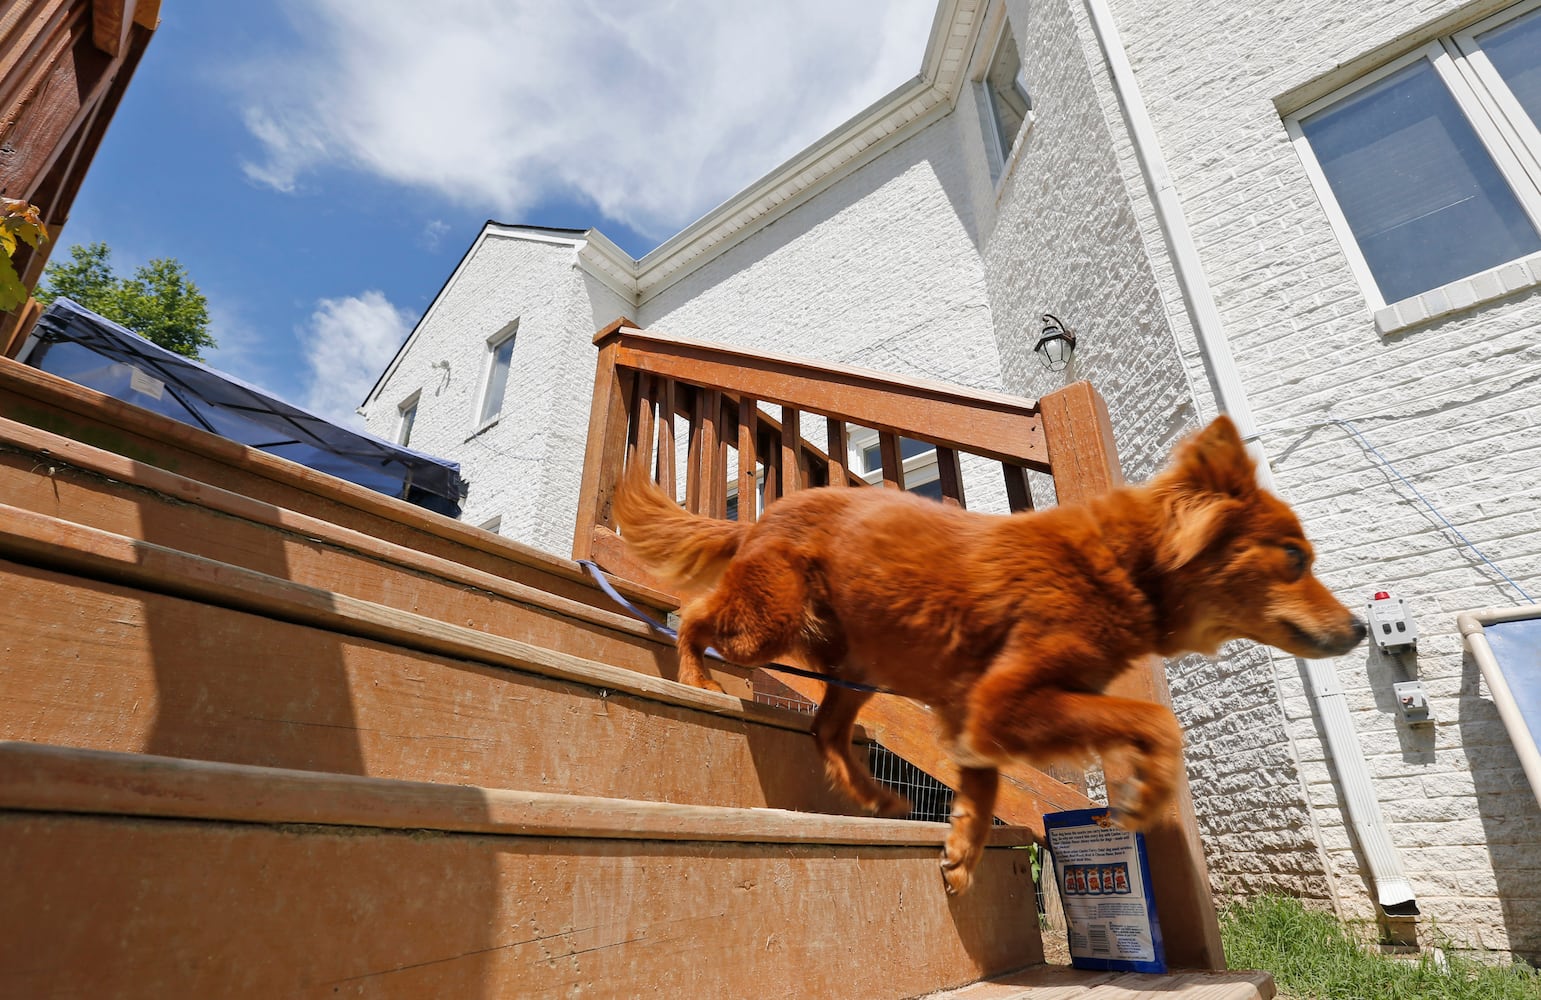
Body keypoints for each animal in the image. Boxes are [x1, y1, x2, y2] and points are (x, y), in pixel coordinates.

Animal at [613, 412, 1362, 887]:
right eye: (1294, 559)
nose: (1357, 628)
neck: (1119, 563)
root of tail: (763, 514)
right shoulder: (1004, 702)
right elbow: (1157, 723)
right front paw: (1144, 799)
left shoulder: (974, 716)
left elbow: (987, 786)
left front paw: (962, 854)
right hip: (768, 623)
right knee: (695, 615)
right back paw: (695, 676)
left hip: (855, 665)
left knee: (825, 731)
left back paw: (880, 800)